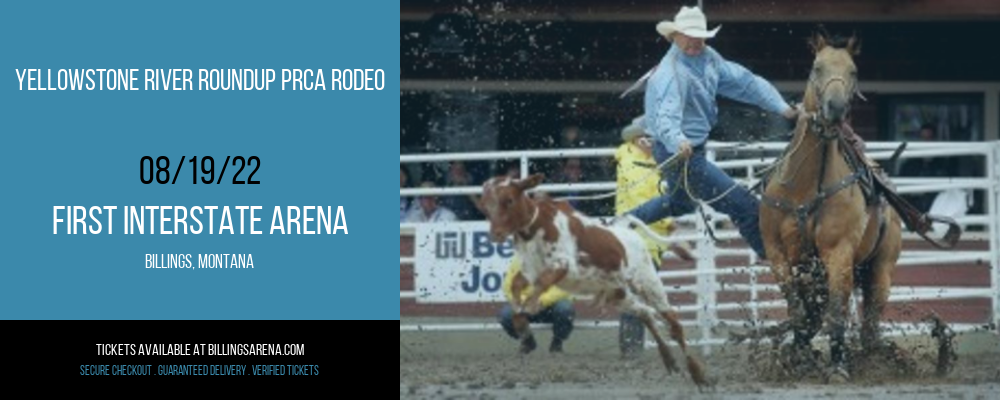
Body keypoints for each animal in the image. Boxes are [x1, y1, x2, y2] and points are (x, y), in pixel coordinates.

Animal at [482, 175, 712, 388]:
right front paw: (522, 321)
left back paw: (698, 373)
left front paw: (531, 305)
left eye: (509, 200)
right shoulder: (529, 270)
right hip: (618, 294)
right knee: (646, 313)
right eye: (485, 206)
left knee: (673, 323)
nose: (495, 234)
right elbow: (516, 286)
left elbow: (541, 284)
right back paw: (669, 360)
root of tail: (629, 232)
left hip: (648, 282)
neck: (536, 227)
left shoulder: (563, 264)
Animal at [760, 32, 904, 382]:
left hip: (881, 270)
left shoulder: (838, 253)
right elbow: (800, 313)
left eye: (853, 71)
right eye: (817, 67)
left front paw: (837, 365)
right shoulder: (777, 253)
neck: (805, 185)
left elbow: (836, 315)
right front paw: (797, 358)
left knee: (869, 328)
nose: (835, 108)